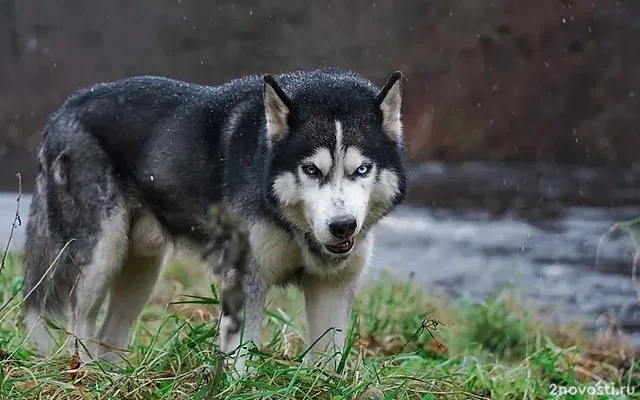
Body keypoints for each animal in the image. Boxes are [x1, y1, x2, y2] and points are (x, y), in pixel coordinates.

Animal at [23, 67, 410, 370]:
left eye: (362, 169)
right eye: (311, 170)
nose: (343, 226)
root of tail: (63, 110)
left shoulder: (333, 286)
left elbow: (329, 360)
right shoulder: (245, 279)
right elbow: (242, 356)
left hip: (143, 269)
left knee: (108, 336)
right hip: (100, 259)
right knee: (79, 323)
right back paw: (85, 375)